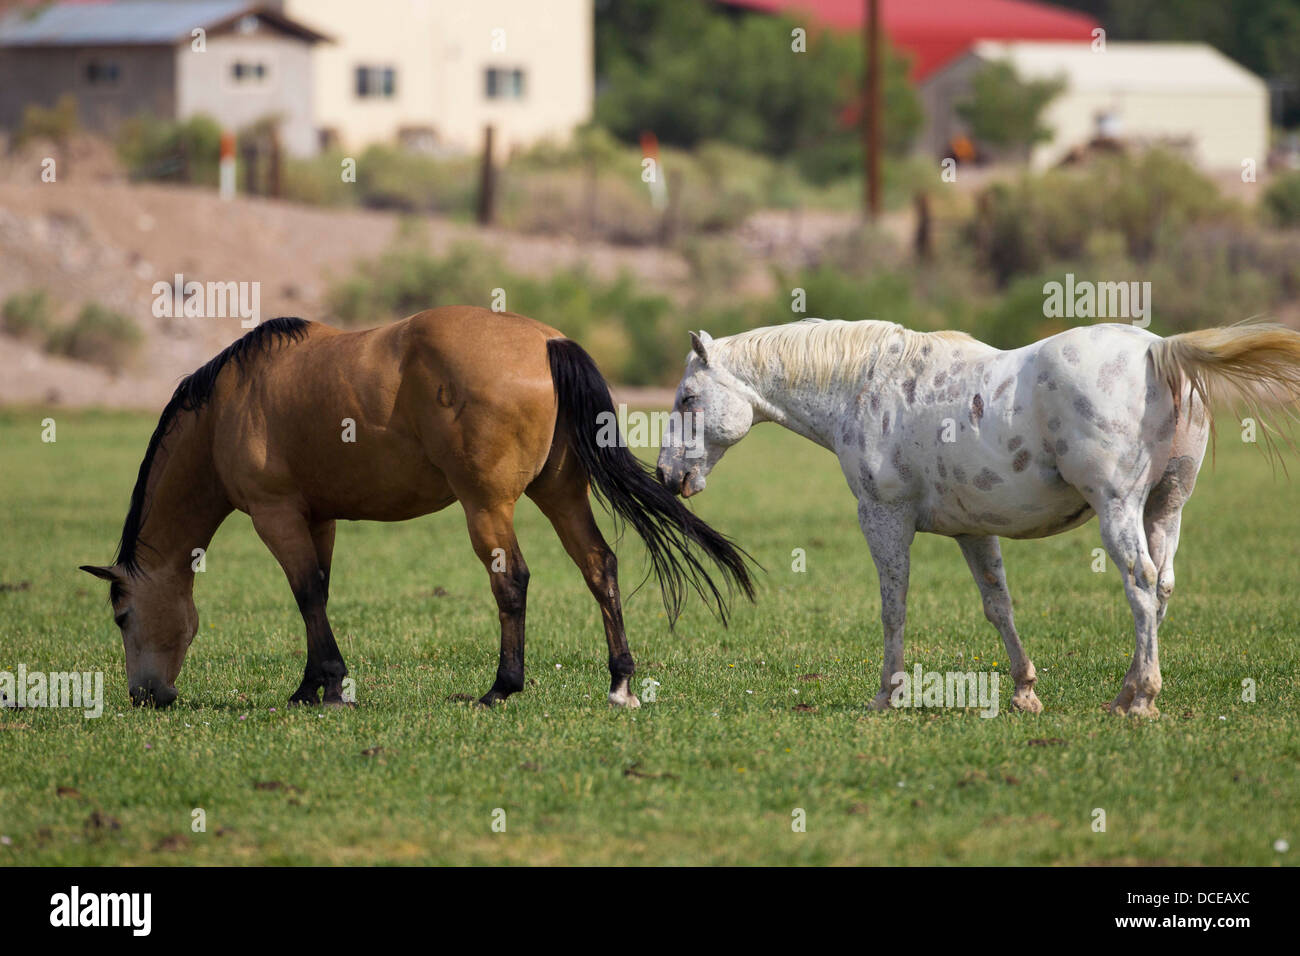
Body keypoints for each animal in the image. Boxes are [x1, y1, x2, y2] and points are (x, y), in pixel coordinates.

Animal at [81, 309, 754, 709]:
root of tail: (547, 341)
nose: (147, 695)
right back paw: (620, 682)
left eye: (121, 616)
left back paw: (501, 688)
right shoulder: (319, 517)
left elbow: (305, 593)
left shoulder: (276, 515)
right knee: (599, 566)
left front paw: (325, 685)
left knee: (513, 582)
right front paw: (315, 683)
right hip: (560, 494)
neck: (229, 404)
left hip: (487, 506)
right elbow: (319, 591)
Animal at [656, 318, 1300, 717]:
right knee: (1160, 588)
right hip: (1166, 508)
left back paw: (1140, 698)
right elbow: (998, 606)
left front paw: (887, 695)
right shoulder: (974, 530)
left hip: (1119, 507)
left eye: (687, 398)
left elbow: (893, 607)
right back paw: (1127, 692)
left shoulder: (884, 518)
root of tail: (1154, 350)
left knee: (1139, 584)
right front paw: (1023, 691)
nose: (666, 476)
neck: (865, 385)